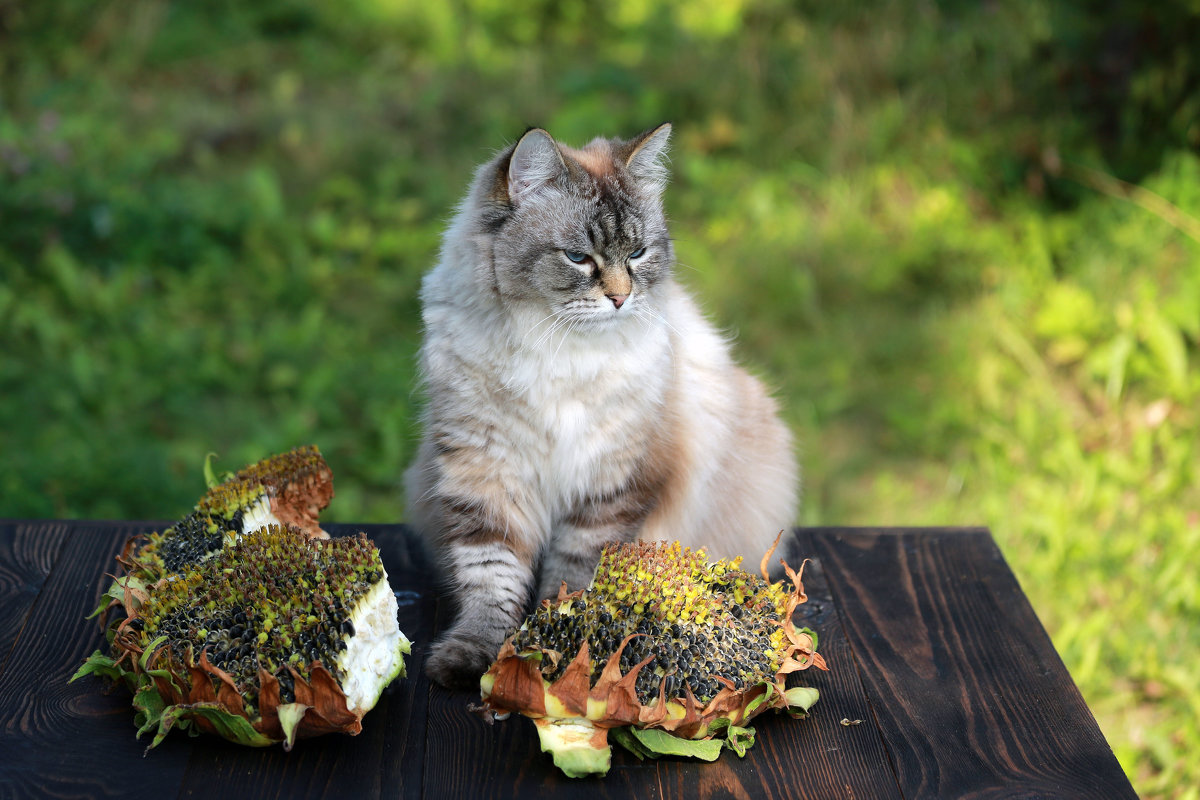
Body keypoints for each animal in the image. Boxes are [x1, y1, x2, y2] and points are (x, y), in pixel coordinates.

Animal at [403, 125, 796, 690]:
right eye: (578, 258)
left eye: (638, 253)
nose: (620, 298)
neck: (554, 350)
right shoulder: (488, 475)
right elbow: (491, 583)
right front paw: (472, 656)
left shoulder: (611, 487)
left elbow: (573, 578)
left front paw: (555, 642)